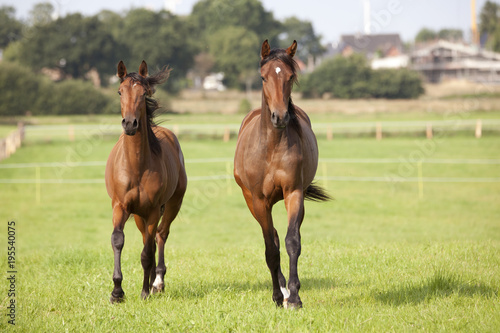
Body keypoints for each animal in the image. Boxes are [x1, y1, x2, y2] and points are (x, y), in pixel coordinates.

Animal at [104, 59, 187, 300]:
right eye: (120, 91)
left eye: (143, 93)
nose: (130, 124)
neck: (136, 167)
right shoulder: (120, 206)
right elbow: (118, 240)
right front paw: (117, 291)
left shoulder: (152, 211)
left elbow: (147, 253)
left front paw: (144, 292)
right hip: (139, 216)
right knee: (147, 239)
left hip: (171, 205)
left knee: (160, 236)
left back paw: (156, 283)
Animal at [235, 40, 332, 308]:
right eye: (263, 77)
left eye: (290, 76)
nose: (279, 116)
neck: (271, 148)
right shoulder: (259, 200)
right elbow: (271, 248)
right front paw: (278, 297)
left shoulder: (293, 193)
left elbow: (292, 242)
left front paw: (295, 296)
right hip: (252, 202)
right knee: (273, 239)